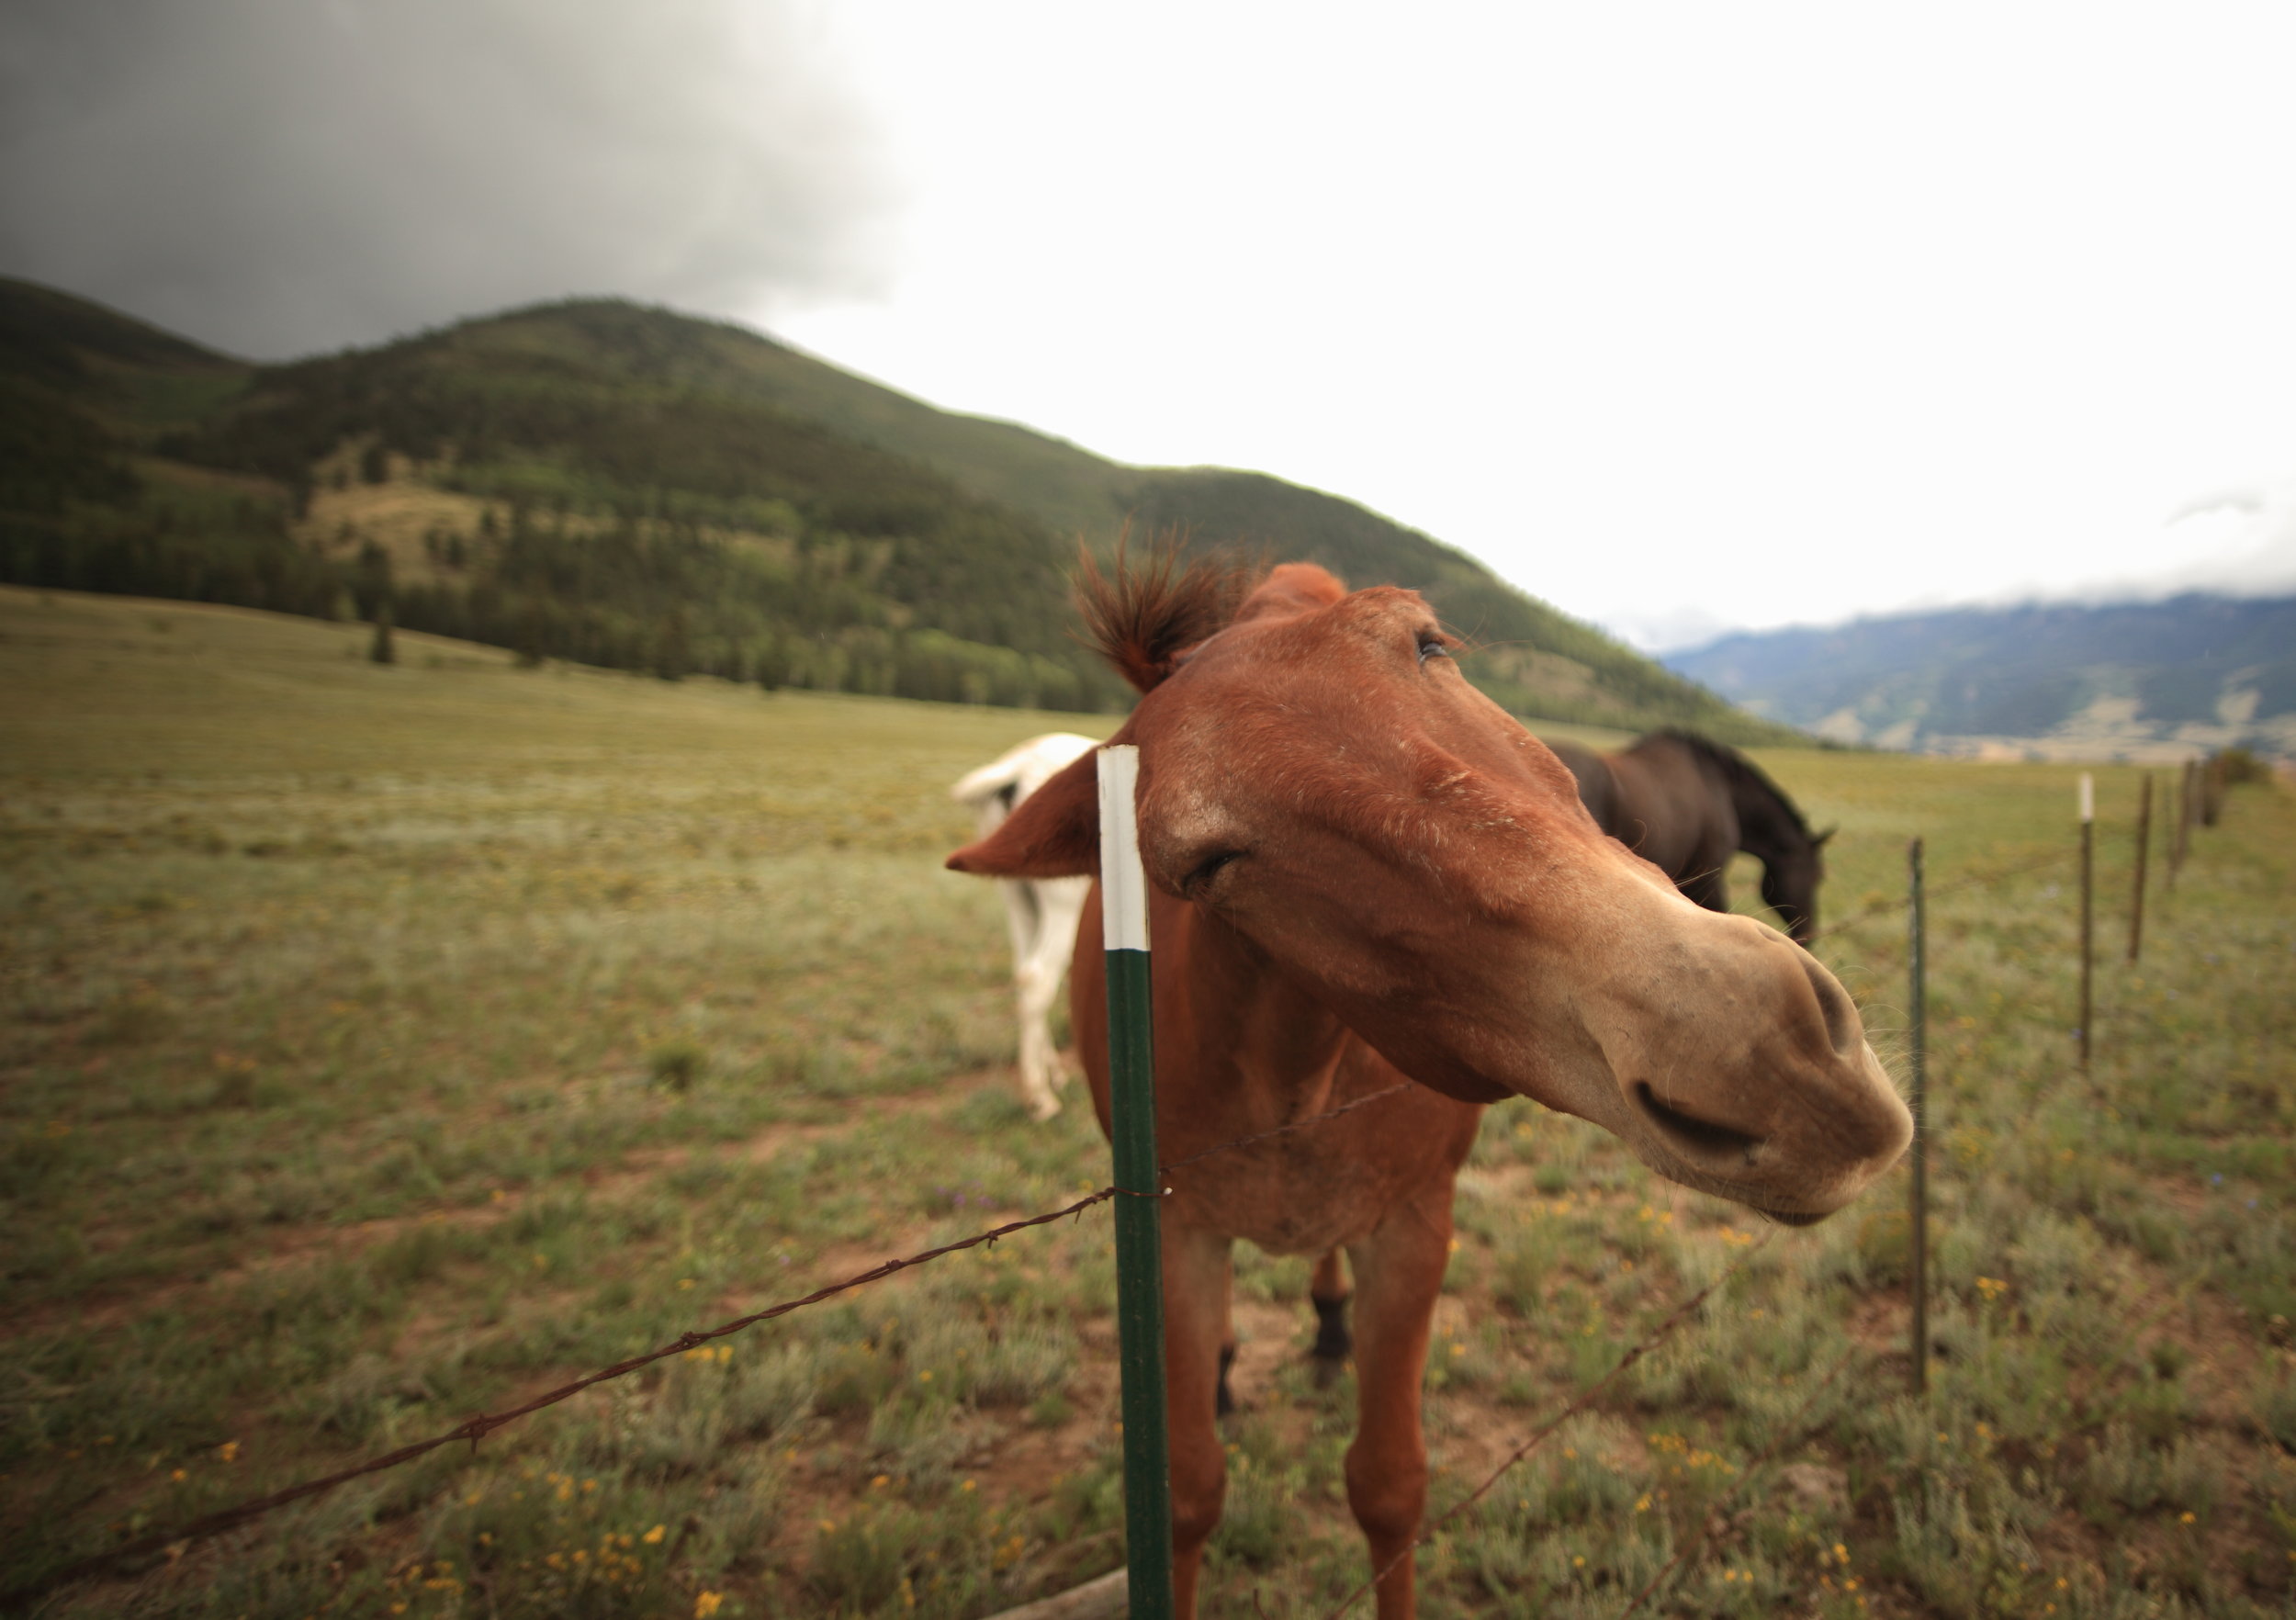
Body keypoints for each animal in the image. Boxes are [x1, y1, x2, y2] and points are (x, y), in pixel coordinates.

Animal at [951, 732, 1101, 1120]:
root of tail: (1019, 767)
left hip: (1018, 899)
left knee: (1023, 973)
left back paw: (1053, 1072)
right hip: (1064, 902)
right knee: (1038, 978)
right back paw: (1040, 1095)